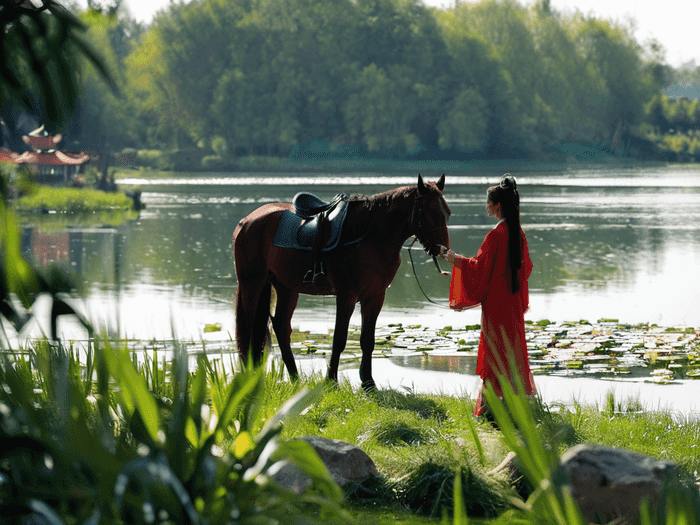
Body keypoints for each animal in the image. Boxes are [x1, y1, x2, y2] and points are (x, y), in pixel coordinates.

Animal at [232, 173, 452, 388]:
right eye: (427, 212)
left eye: (447, 212)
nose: (443, 250)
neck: (370, 234)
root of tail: (247, 222)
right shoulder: (346, 295)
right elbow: (339, 339)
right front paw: (331, 380)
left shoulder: (375, 296)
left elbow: (367, 340)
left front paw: (368, 382)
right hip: (252, 284)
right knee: (247, 326)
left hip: (286, 287)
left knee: (281, 326)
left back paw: (295, 378)